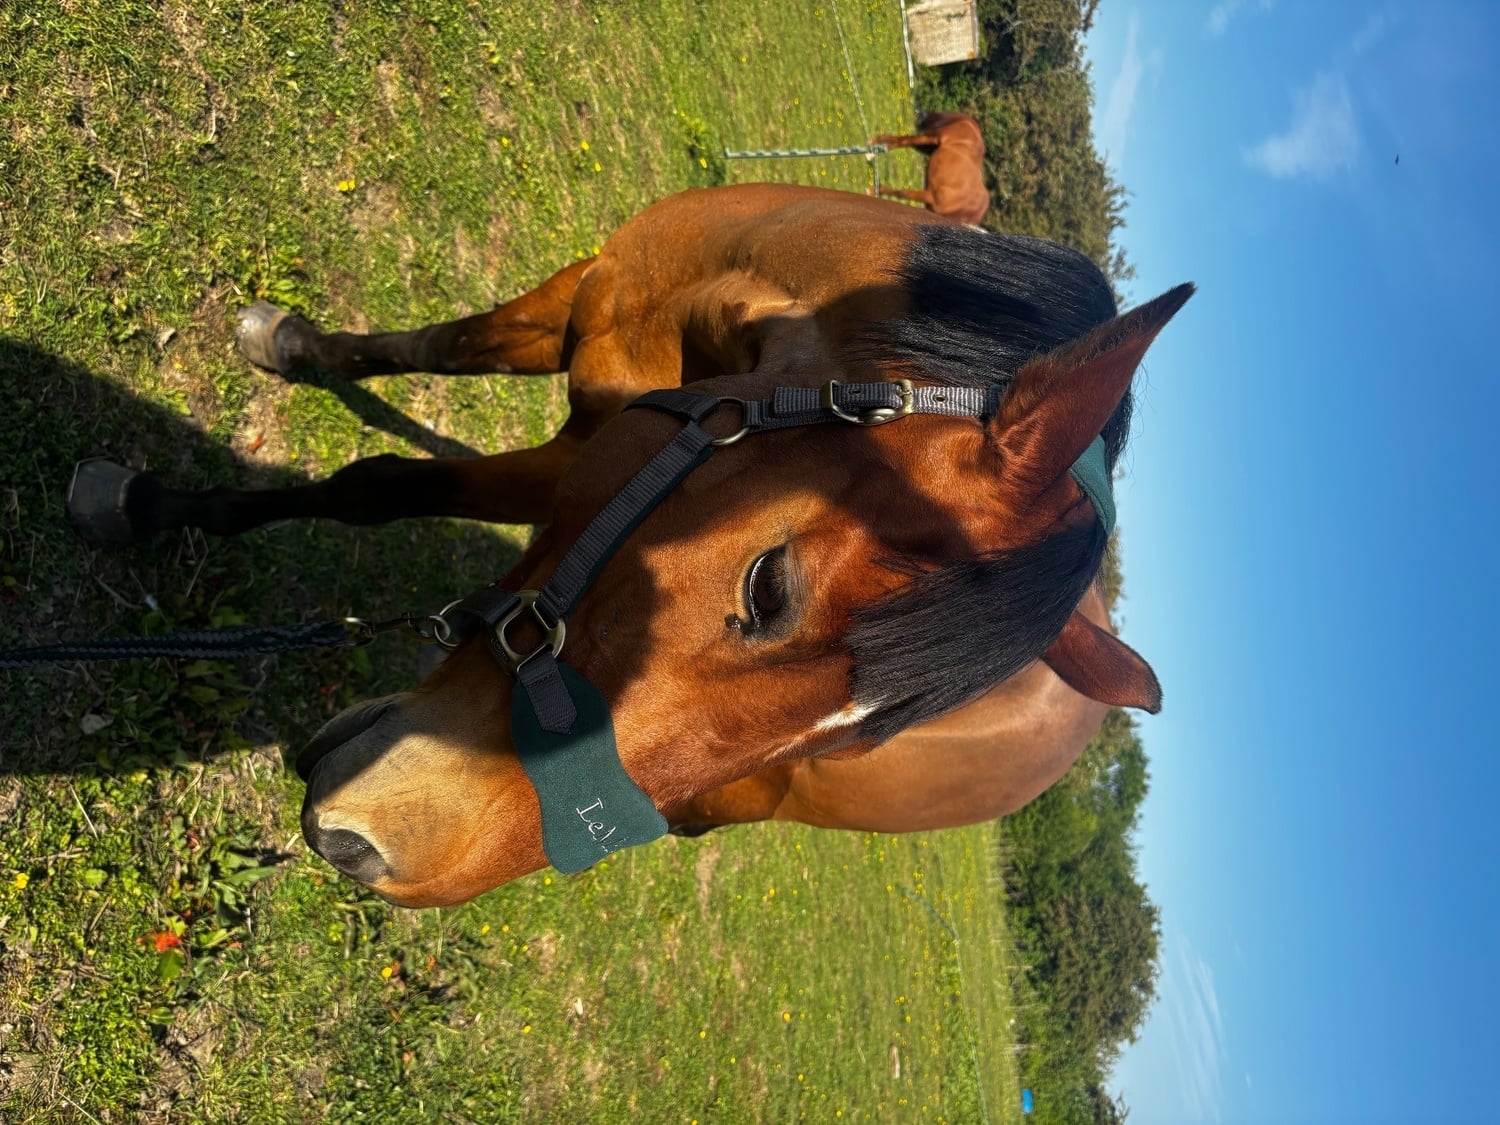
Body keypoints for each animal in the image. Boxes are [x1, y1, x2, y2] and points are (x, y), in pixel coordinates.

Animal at [84, 183, 1189, 906]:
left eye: (853, 740)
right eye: (768, 587)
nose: (367, 854)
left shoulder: (594, 444)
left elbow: (386, 483)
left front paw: (156, 501)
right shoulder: (595, 311)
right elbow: (425, 377)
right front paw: (269, 370)